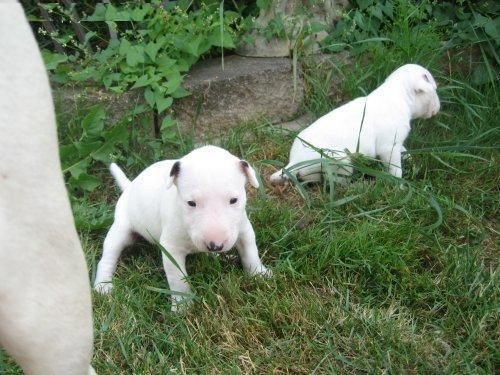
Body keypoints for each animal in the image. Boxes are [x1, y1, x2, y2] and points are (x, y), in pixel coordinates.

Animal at [95, 145, 272, 312]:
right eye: (191, 203)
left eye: (234, 200)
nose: (215, 245)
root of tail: (129, 187)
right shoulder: (171, 247)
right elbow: (177, 277)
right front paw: (182, 306)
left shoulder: (243, 229)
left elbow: (250, 252)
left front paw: (259, 274)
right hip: (120, 229)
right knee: (107, 257)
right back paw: (103, 285)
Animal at [270, 64, 442, 185]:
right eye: (434, 90)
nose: (439, 107)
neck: (397, 95)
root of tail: (294, 161)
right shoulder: (389, 147)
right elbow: (395, 169)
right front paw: (400, 186)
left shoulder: (395, 142)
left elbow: (404, 150)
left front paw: (411, 159)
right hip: (341, 162)